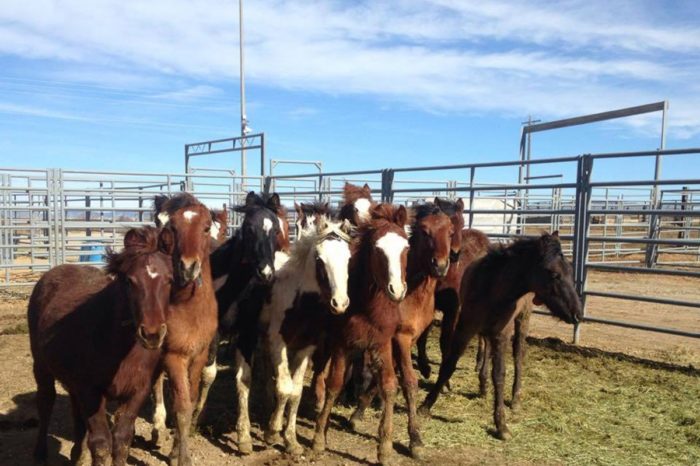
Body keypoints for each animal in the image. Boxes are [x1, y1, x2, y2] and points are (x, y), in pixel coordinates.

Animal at [28, 226, 173, 466]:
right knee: (45, 402)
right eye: (129, 281)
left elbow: (122, 440)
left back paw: (77, 455)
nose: (152, 334)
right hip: (41, 366)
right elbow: (101, 443)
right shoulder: (91, 392)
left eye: (169, 280)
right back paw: (40, 452)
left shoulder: (136, 392)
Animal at [242, 217, 355, 456]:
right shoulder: (279, 343)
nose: (340, 304)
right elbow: (284, 387)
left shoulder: (306, 348)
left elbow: (295, 392)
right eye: (320, 259)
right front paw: (272, 432)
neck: (300, 303)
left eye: (348, 258)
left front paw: (291, 439)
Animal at [312, 203, 409, 465]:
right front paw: (318, 438)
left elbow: (389, 385)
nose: (397, 290)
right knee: (319, 369)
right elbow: (334, 384)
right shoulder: (341, 344)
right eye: (378, 249)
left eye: (406, 247)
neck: (367, 307)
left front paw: (385, 447)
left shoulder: (382, 344)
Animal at [419, 232, 582, 441]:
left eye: (570, 271)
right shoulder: (466, 327)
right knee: (487, 349)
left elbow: (499, 374)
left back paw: (515, 398)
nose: (578, 314)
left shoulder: (502, 334)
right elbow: (449, 365)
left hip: (522, 319)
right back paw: (483, 385)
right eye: (554, 274)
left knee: (519, 354)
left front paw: (501, 425)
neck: (494, 289)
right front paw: (426, 405)